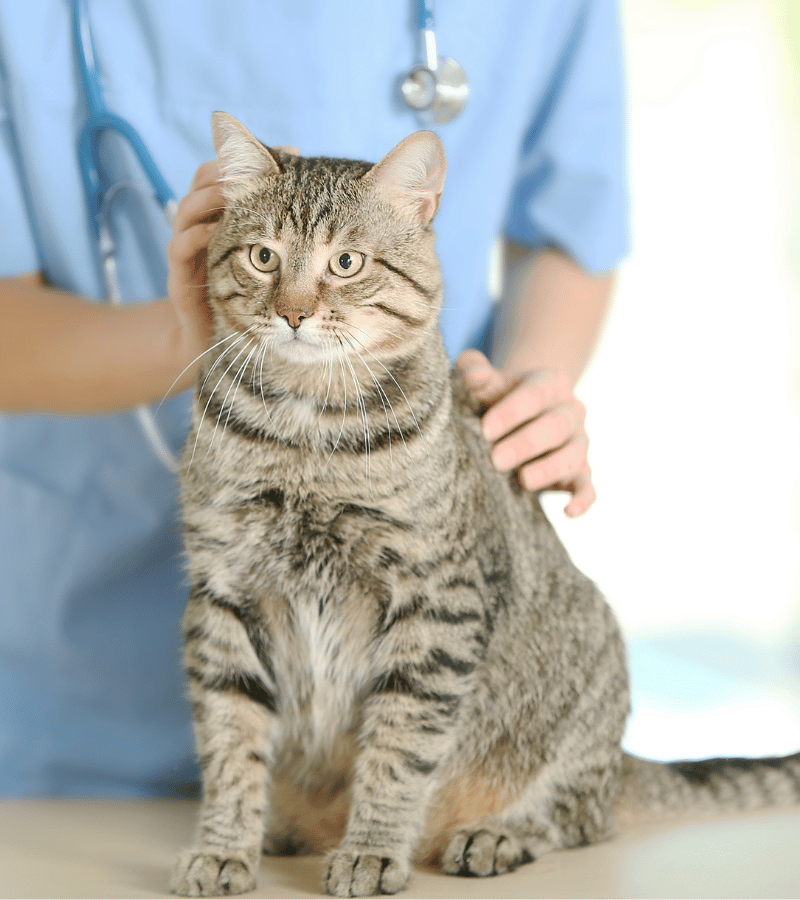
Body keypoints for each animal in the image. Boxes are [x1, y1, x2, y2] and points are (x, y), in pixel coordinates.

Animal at [172, 114, 796, 900]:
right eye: (262, 258)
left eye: (346, 263)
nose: (292, 312)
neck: (306, 433)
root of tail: (623, 761)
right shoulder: (223, 592)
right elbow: (230, 741)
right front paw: (225, 845)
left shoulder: (436, 601)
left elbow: (399, 747)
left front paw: (372, 847)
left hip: (589, 675)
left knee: (579, 815)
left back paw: (496, 834)